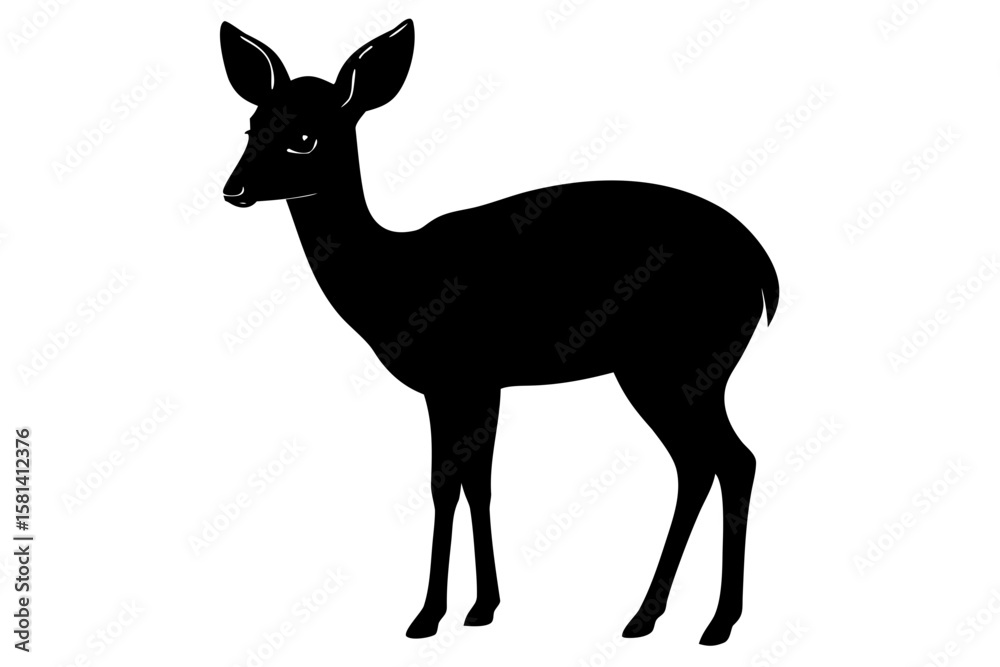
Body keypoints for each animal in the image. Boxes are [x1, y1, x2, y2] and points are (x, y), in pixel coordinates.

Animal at [219, 18, 779, 645]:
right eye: (251, 124)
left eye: (305, 137)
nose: (233, 188)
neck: (393, 281)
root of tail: (763, 270)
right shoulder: (469, 387)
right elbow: (468, 484)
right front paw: (475, 607)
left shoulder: (461, 378)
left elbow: (451, 484)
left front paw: (434, 615)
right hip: (670, 372)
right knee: (702, 463)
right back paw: (650, 617)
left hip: (678, 363)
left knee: (732, 460)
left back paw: (715, 622)